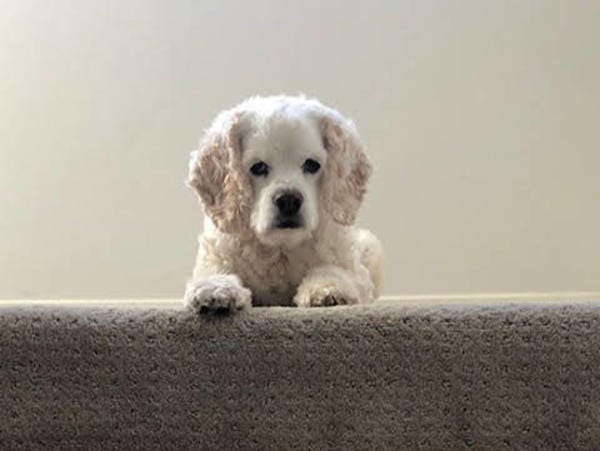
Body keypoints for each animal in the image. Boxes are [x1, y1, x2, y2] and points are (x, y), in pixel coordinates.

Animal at [183, 95, 382, 314]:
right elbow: (216, 270)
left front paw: (328, 289)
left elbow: (334, 270)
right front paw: (216, 289)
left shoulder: (351, 267)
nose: (288, 200)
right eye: (258, 167)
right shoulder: (215, 254)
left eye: (312, 165)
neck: (281, 248)